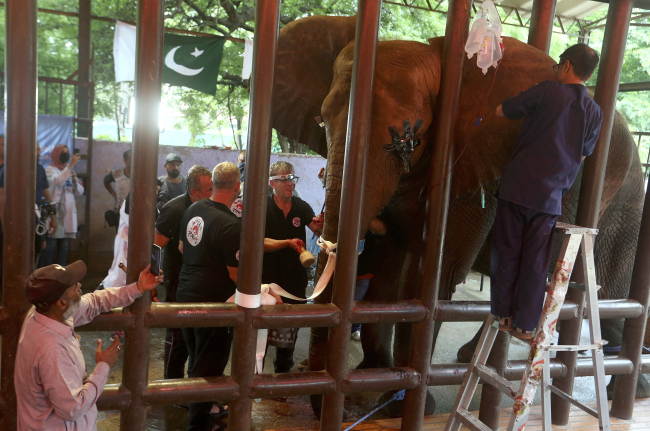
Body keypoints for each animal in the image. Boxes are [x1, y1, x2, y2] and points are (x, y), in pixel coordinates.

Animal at [268, 15, 644, 416]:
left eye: (409, 140)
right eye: (322, 122)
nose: (339, 406)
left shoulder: (475, 174)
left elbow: (433, 274)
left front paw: (400, 404)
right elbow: (389, 266)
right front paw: (374, 375)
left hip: (622, 202)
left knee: (606, 293)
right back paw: (475, 359)